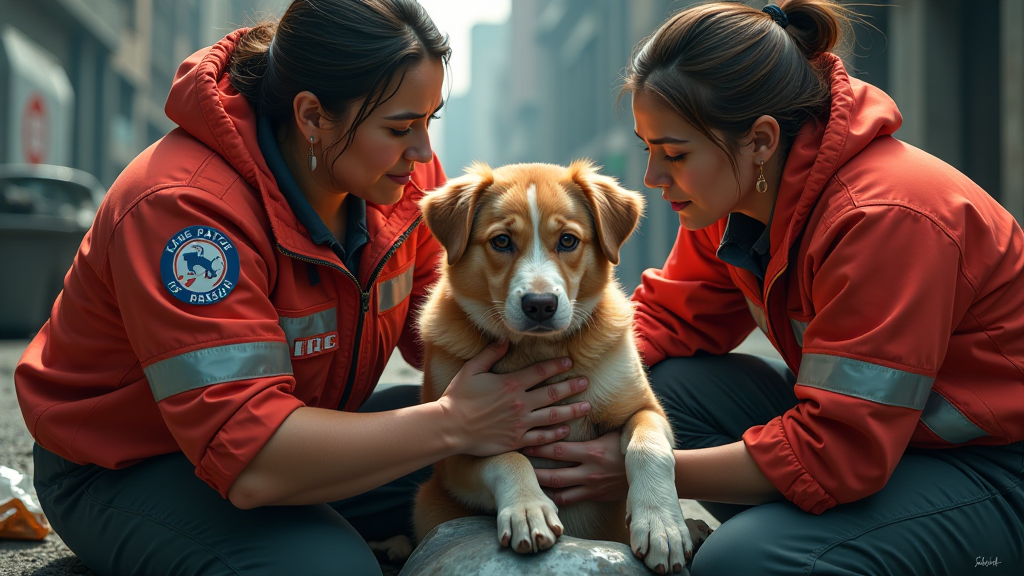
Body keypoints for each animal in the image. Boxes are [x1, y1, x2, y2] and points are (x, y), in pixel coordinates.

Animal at [415, 159, 696, 569]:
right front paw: (528, 509)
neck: (539, 350)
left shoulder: (646, 409)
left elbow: (649, 447)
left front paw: (662, 524)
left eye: (567, 240)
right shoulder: (455, 455)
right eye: (501, 241)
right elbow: (506, 456)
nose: (540, 305)